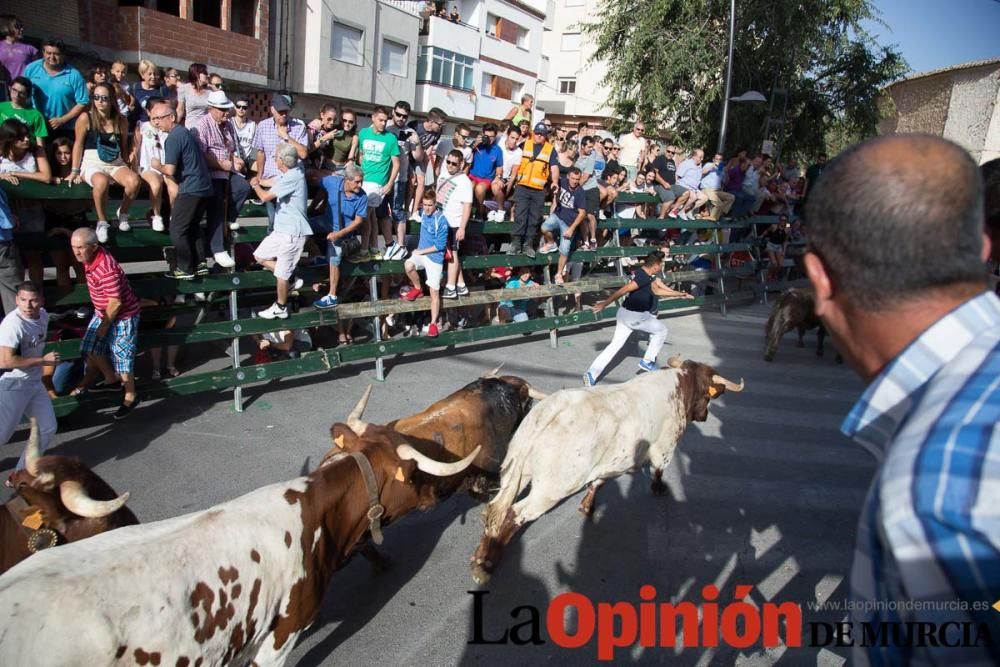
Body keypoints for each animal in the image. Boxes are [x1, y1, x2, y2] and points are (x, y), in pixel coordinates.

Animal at [468, 354, 744, 584]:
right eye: (708, 395)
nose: (704, 416)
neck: (678, 386)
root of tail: (552, 409)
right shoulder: (665, 448)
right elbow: (658, 472)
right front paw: (659, 488)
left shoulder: (611, 462)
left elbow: (599, 482)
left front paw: (587, 506)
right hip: (551, 488)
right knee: (514, 513)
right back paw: (488, 564)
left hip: (516, 469)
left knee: (495, 509)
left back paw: (479, 558)